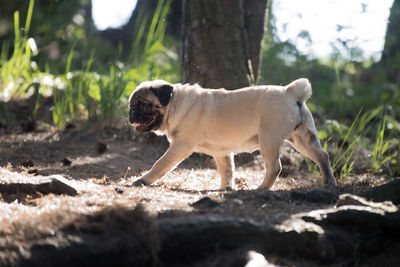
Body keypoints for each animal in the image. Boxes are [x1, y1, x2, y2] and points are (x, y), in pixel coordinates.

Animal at [130, 78, 336, 189]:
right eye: (132, 106)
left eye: (144, 105)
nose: (131, 113)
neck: (175, 103)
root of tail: (291, 92)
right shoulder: (222, 153)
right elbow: (227, 171)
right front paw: (225, 189)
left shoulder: (181, 146)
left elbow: (160, 164)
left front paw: (143, 180)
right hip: (302, 139)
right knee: (322, 156)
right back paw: (329, 182)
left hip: (268, 140)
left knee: (274, 167)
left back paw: (261, 189)